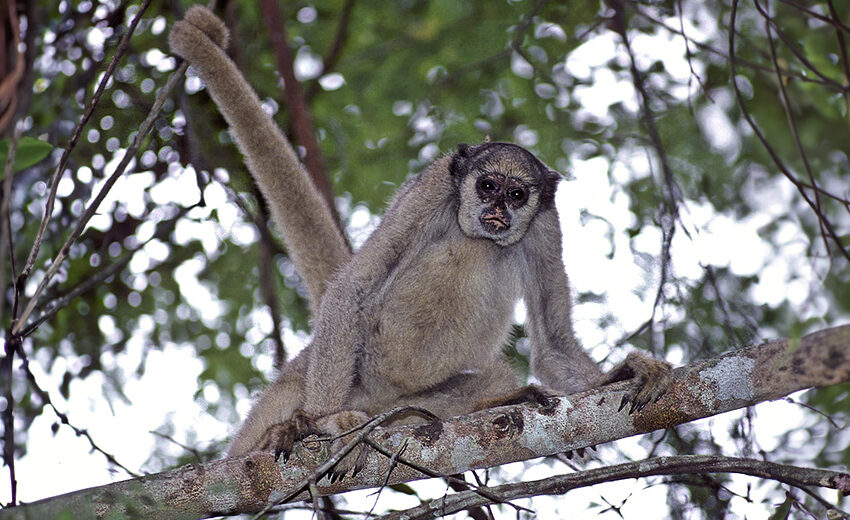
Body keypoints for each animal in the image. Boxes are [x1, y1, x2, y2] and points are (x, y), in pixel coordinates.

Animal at [167, 6, 668, 482]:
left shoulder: (545, 224)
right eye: (487, 186)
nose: (498, 210)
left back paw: (496, 400)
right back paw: (297, 426)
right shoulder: (433, 186)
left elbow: (554, 344)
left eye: (517, 194)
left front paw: (619, 373)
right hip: (337, 367)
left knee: (490, 363)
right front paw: (319, 423)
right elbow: (353, 286)